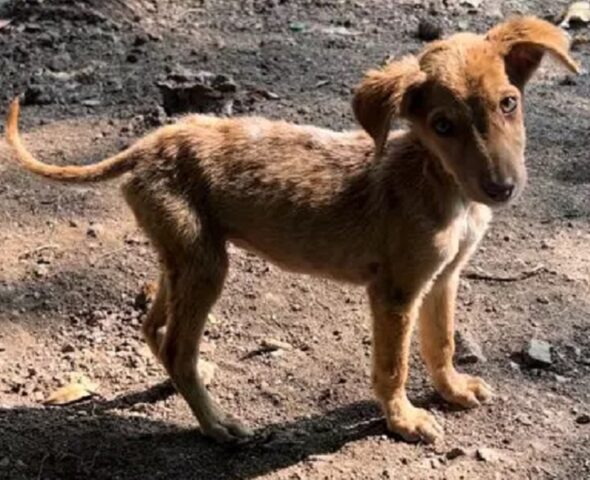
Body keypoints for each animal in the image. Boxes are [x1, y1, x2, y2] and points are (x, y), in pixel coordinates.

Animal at [3, 16, 580, 444]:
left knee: (155, 328)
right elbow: (392, 365)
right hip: (206, 264)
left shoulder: (443, 279)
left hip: (183, 255)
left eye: (509, 103)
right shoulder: (395, 292)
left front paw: (452, 389)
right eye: (442, 125)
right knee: (177, 349)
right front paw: (403, 420)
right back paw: (217, 425)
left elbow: (440, 342)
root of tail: (150, 143)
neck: (438, 183)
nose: (502, 188)